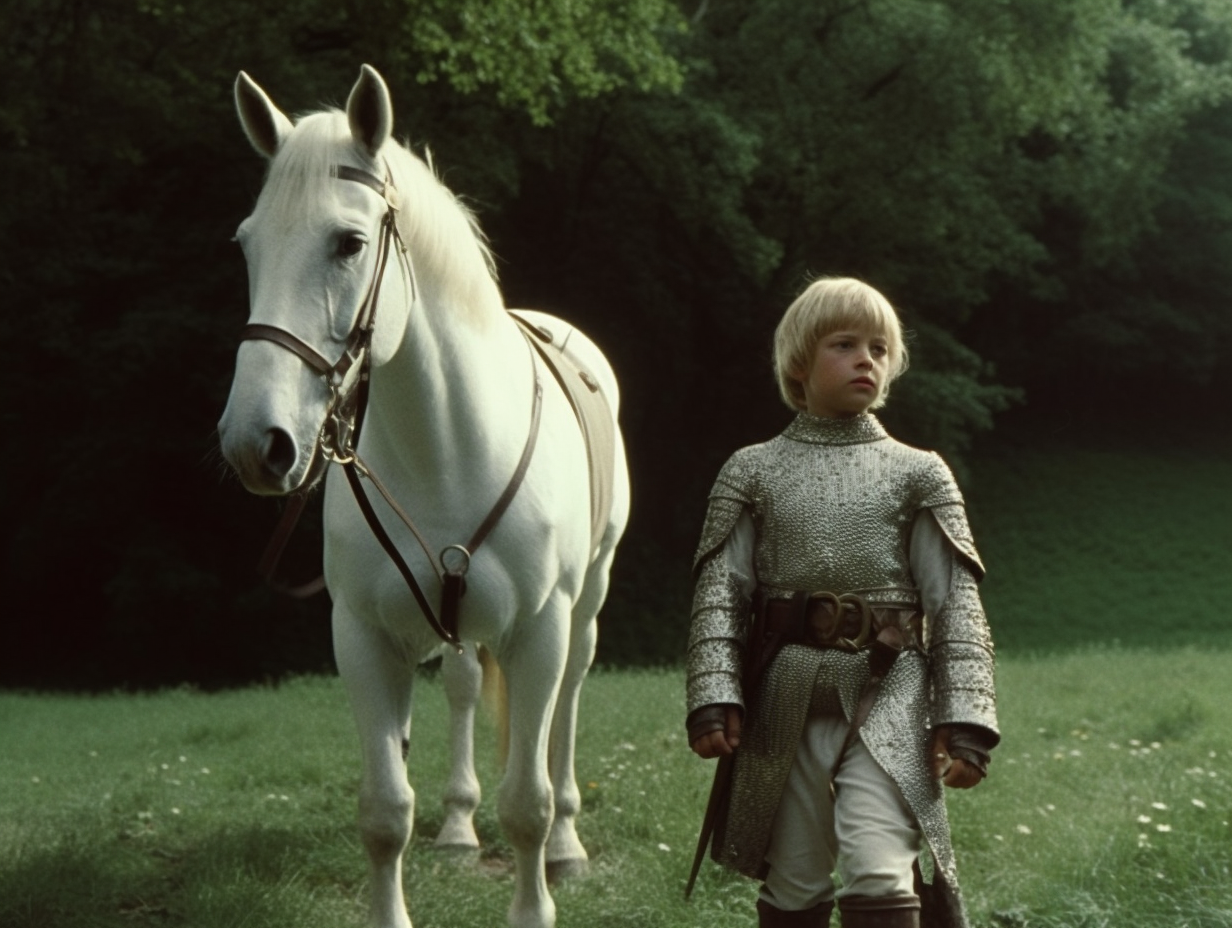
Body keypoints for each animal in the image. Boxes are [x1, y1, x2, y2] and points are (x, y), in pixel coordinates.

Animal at [217, 64, 630, 928]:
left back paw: (568, 846)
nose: (255, 442)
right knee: (468, 687)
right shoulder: (363, 636)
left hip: (585, 604)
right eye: (247, 244)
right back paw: (458, 827)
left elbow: (528, 804)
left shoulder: (539, 632)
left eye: (348, 242)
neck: (449, 446)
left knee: (569, 703)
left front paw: (536, 896)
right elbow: (384, 812)